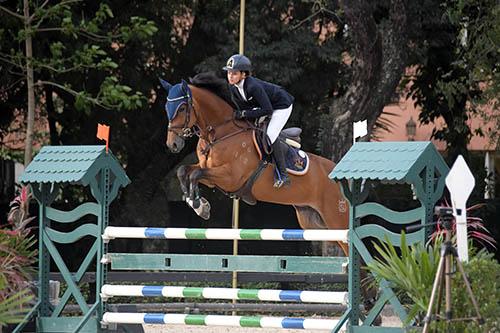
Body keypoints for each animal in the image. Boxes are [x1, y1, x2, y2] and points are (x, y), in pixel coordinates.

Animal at [160, 72, 348, 253]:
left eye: (182, 108)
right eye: (167, 107)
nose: (172, 144)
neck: (220, 134)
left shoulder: (230, 177)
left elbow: (195, 174)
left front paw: (200, 205)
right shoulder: (211, 174)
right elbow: (185, 171)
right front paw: (196, 203)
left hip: (336, 219)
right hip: (314, 222)